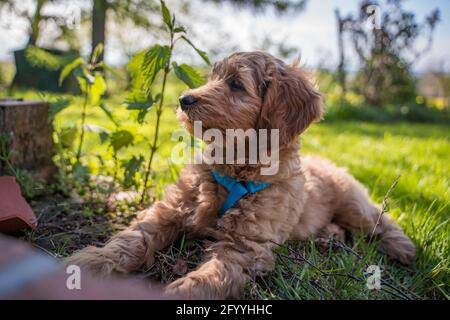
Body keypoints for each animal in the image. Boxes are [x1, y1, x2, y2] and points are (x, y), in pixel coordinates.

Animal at [66, 51, 414, 298]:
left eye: (235, 84)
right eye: (213, 78)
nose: (183, 99)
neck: (233, 166)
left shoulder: (245, 246)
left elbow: (212, 275)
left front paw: (180, 292)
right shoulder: (169, 210)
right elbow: (133, 238)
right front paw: (91, 263)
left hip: (352, 203)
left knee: (378, 219)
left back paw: (403, 249)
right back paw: (330, 237)